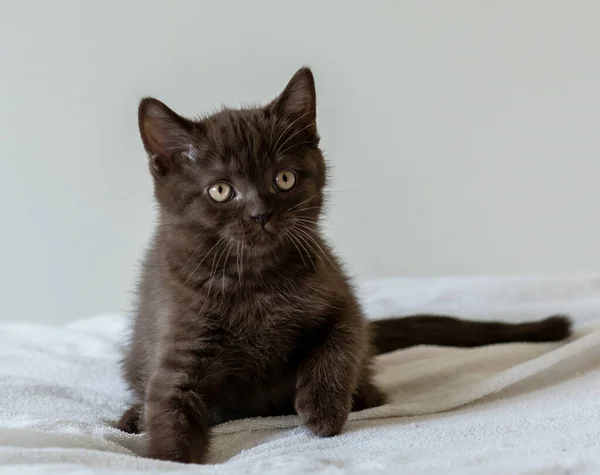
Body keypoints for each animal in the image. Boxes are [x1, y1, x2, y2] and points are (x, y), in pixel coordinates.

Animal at [118, 68, 572, 464]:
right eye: (220, 190)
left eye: (284, 179)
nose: (261, 214)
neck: (257, 284)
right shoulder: (180, 342)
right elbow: (168, 404)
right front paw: (166, 455)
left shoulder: (339, 297)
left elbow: (339, 344)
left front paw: (322, 409)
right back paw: (131, 417)